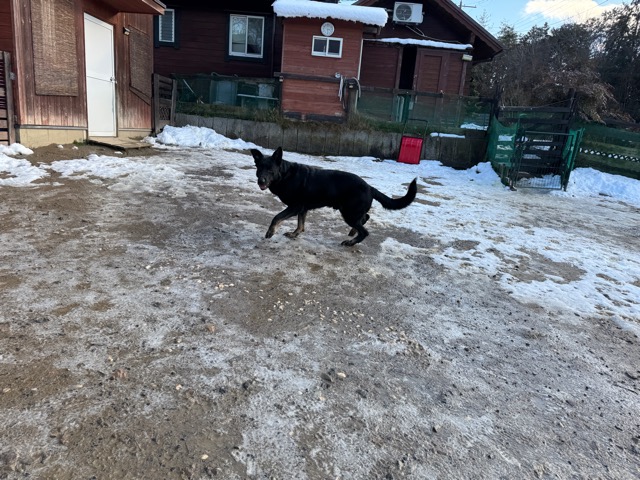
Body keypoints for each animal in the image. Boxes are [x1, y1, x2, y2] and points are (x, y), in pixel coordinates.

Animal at [251, 147, 417, 246]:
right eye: (259, 168)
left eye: (270, 170)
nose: (261, 181)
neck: (285, 175)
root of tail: (370, 187)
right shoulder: (302, 209)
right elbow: (301, 225)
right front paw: (294, 234)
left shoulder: (295, 207)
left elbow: (277, 217)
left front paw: (270, 232)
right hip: (351, 212)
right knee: (365, 217)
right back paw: (353, 232)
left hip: (348, 213)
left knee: (365, 230)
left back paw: (351, 242)